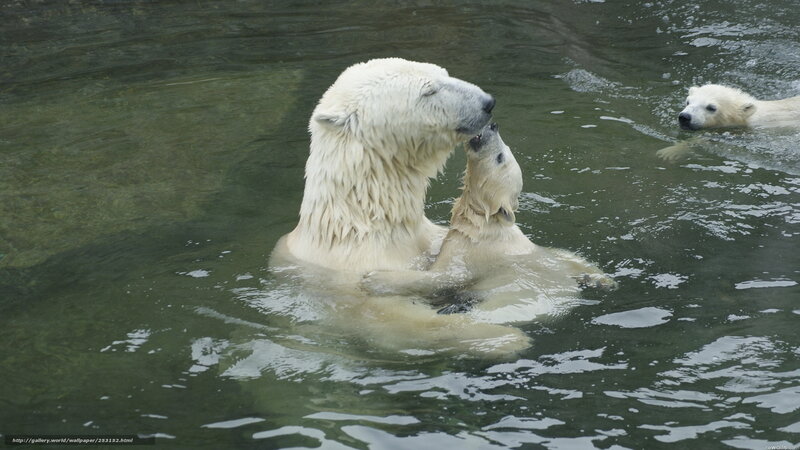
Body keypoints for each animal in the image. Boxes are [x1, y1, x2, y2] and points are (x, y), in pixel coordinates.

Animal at [361, 123, 615, 322]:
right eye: (506, 150)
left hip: (516, 298)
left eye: (500, 157)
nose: (493, 126)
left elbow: (444, 276)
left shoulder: (473, 251)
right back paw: (601, 280)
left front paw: (374, 279)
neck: (483, 222)